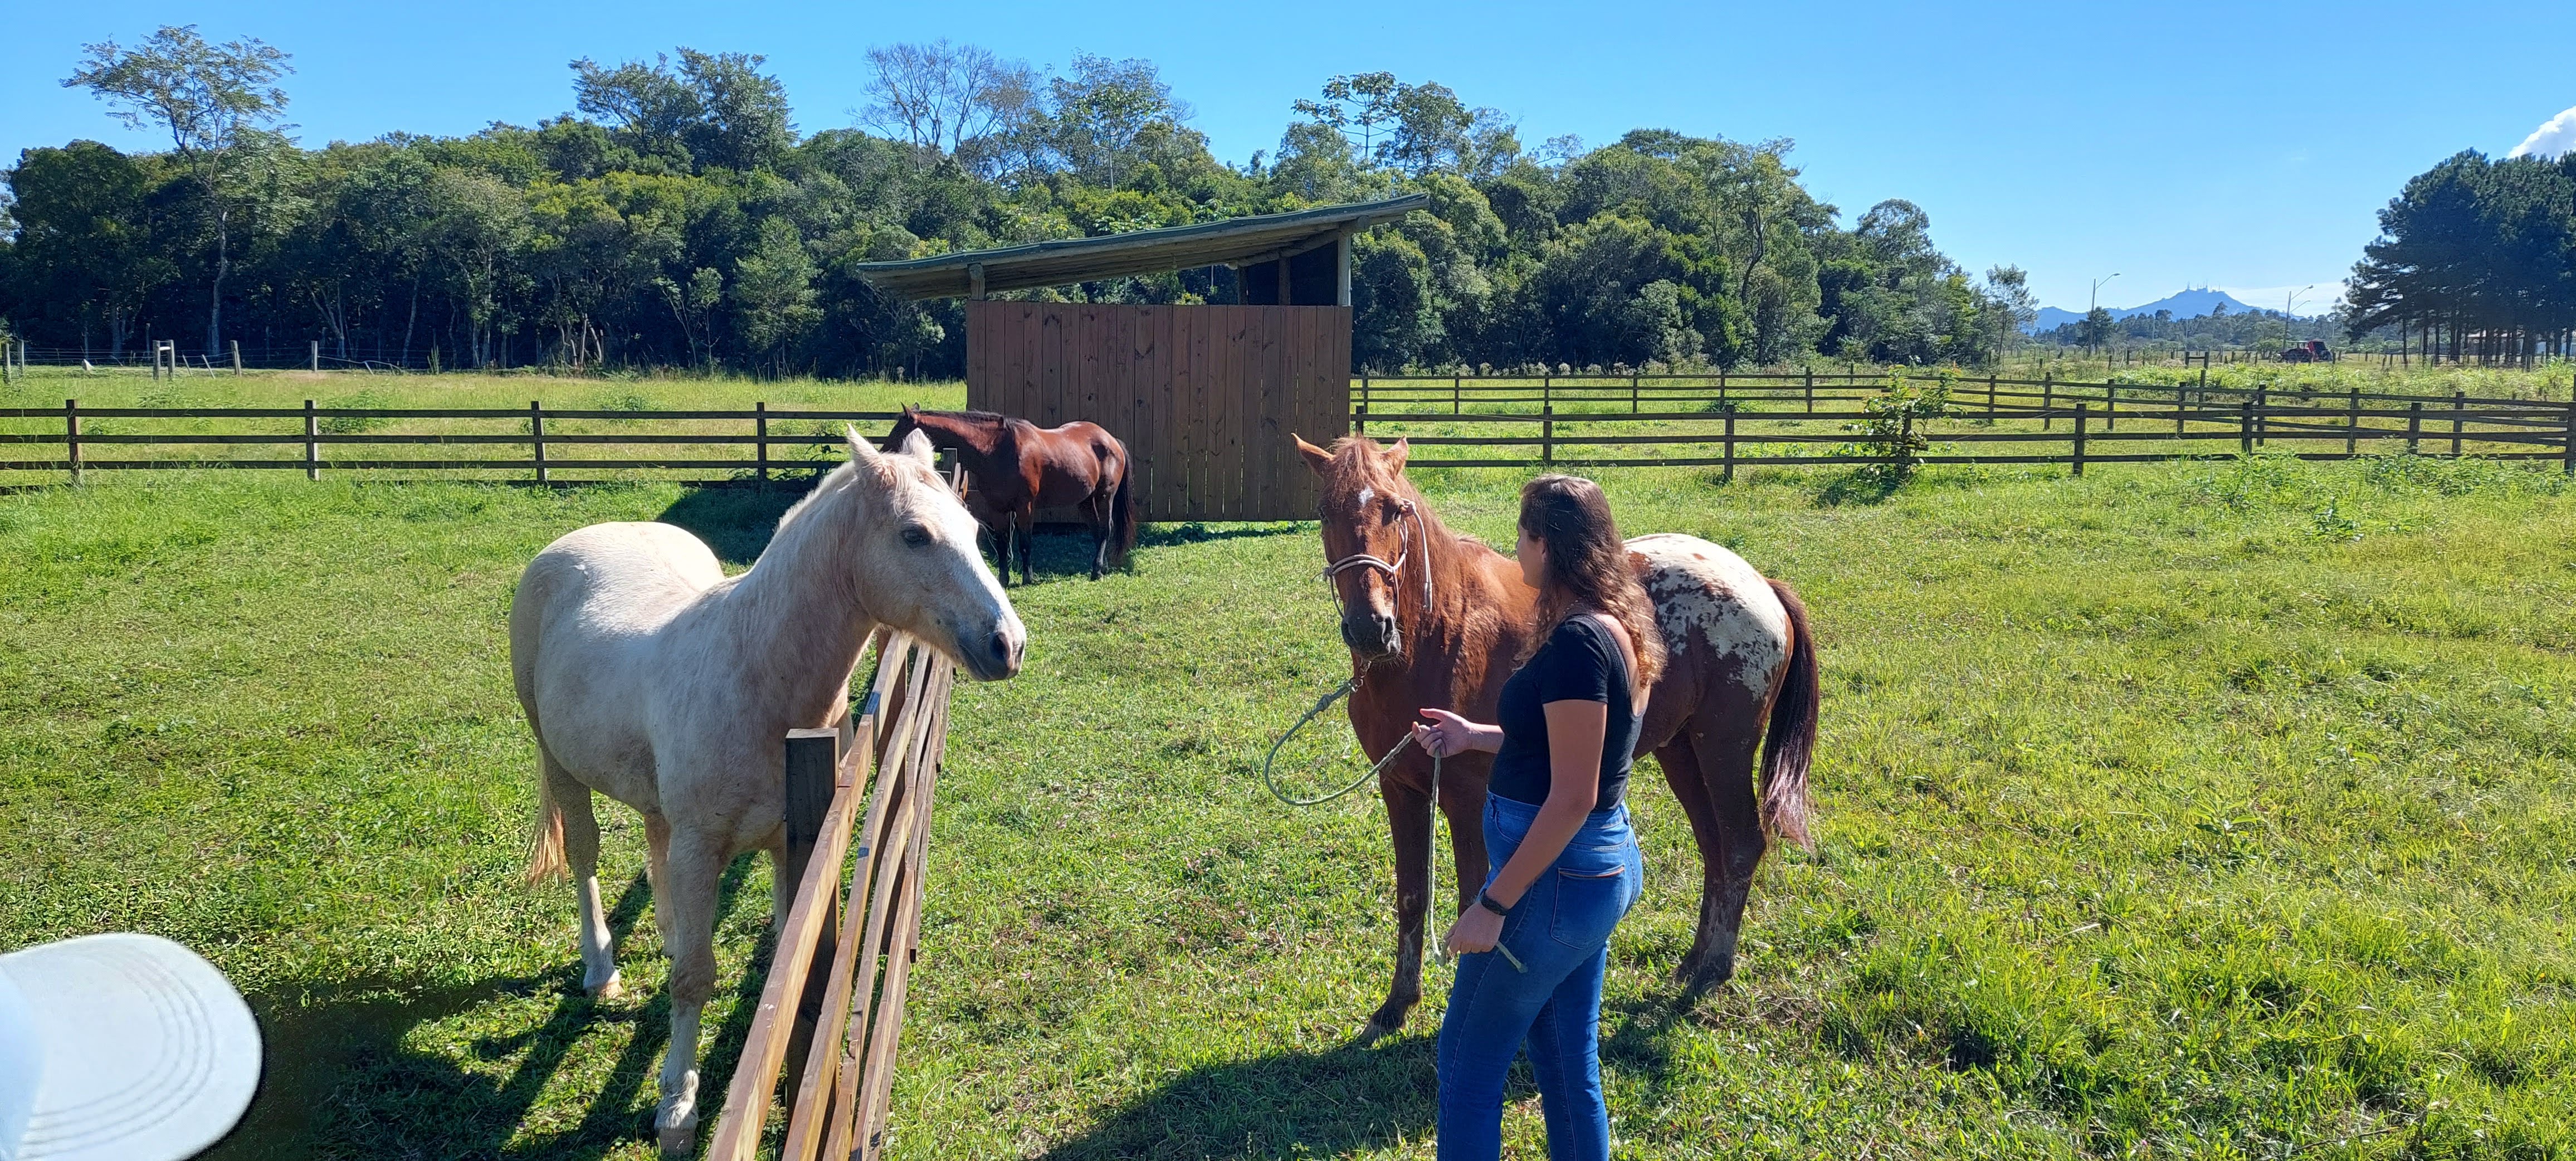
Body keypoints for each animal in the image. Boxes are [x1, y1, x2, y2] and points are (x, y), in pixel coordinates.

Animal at [507, 432, 1020, 1158]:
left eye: (975, 532)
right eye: (915, 534)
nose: (1008, 643)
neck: (753, 672)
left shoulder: (785, 844)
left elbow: (783, 954)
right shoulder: (704, 845)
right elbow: (694, 978)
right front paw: (678, 1104)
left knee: (654, 838)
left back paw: (668, 932)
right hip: (559, 763)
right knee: (585, 856)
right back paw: (600, 966)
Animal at [881, 409, 1133, 592]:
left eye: (900, 430)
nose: (884, 454)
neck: (997, 450)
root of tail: (1112, 441)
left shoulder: (1025, 507)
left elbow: (1025, 542)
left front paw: (1027, 577)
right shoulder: (997, 508)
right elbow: (1003, 544)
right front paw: (1003, 579)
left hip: (1104, 496)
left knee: (1105, 529)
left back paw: (1097, 570)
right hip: (1086, 501)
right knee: (1097, 531)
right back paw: (1102, 566)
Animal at [1298, 437, 1823, 1045]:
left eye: (1394, 509)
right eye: (1324, 512)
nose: (1370, 627)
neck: (1438, 634)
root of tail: (1759, 582)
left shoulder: (1465, 795)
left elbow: (1473, 895)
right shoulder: (1399, 787)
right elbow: (1411, 895)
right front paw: (1397, 1003)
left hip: (1725, 748)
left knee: (1740, 845)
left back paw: (1712, 969)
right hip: (1683, 754)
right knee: (1714, 848)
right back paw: (1695, 960)